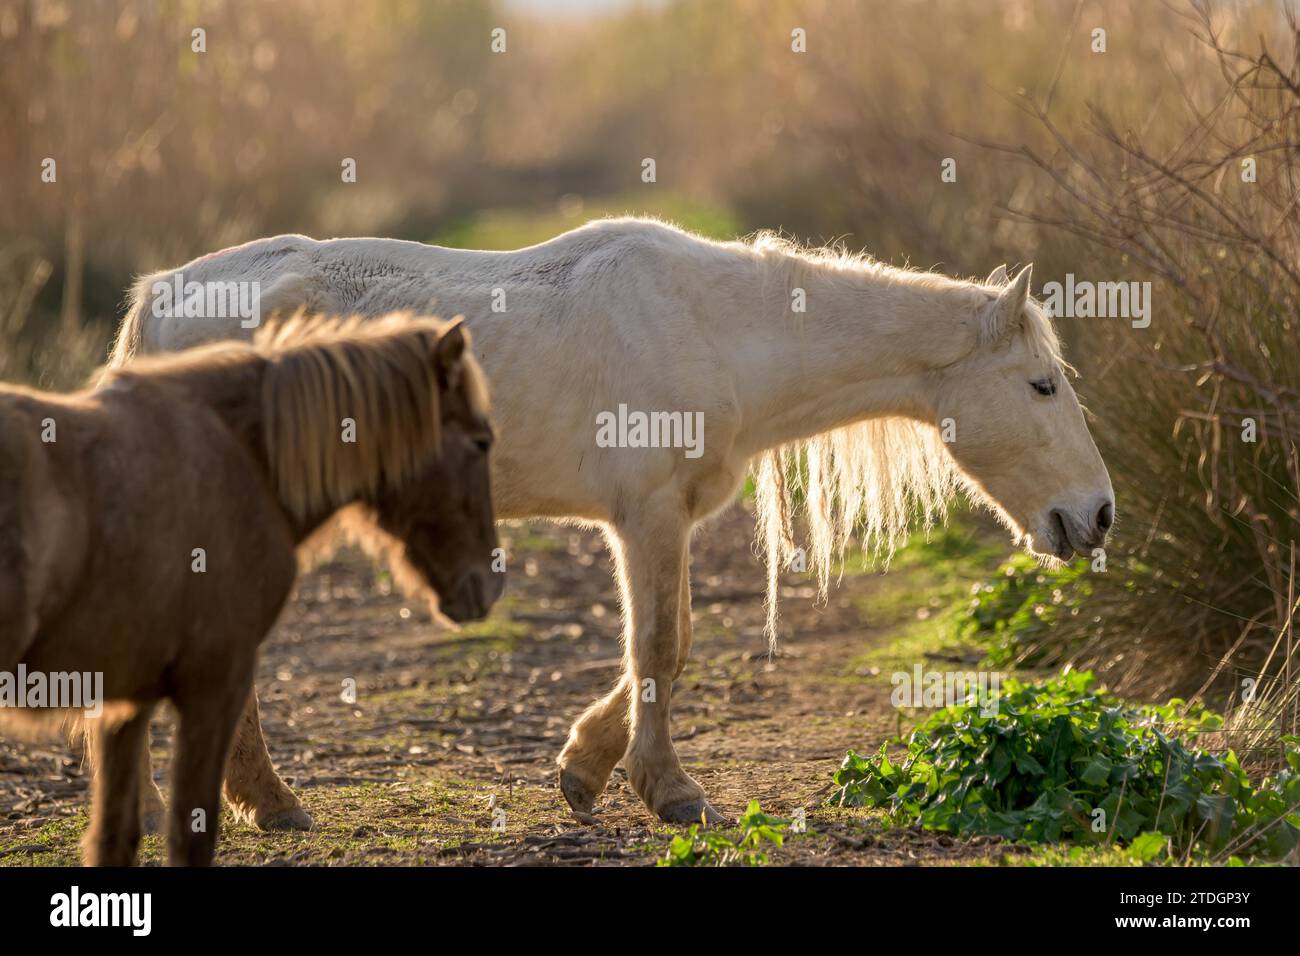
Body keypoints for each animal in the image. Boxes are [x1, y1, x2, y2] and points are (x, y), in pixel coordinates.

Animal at [0, 313, 501, 864]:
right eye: (481, 442)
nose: (489, 583)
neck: (238, 457)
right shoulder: (215, 681)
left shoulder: (127, 701)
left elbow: (115, 836)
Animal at [107, 217, 1115, 826]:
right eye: (1041, 385)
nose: (1096, 516)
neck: (714, 325)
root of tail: (166, 295)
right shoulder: (647, 520)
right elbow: (660, 645)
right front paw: (670, 791)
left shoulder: (662, 522)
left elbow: (668, 646)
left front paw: (585, 768)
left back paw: (250, 800)